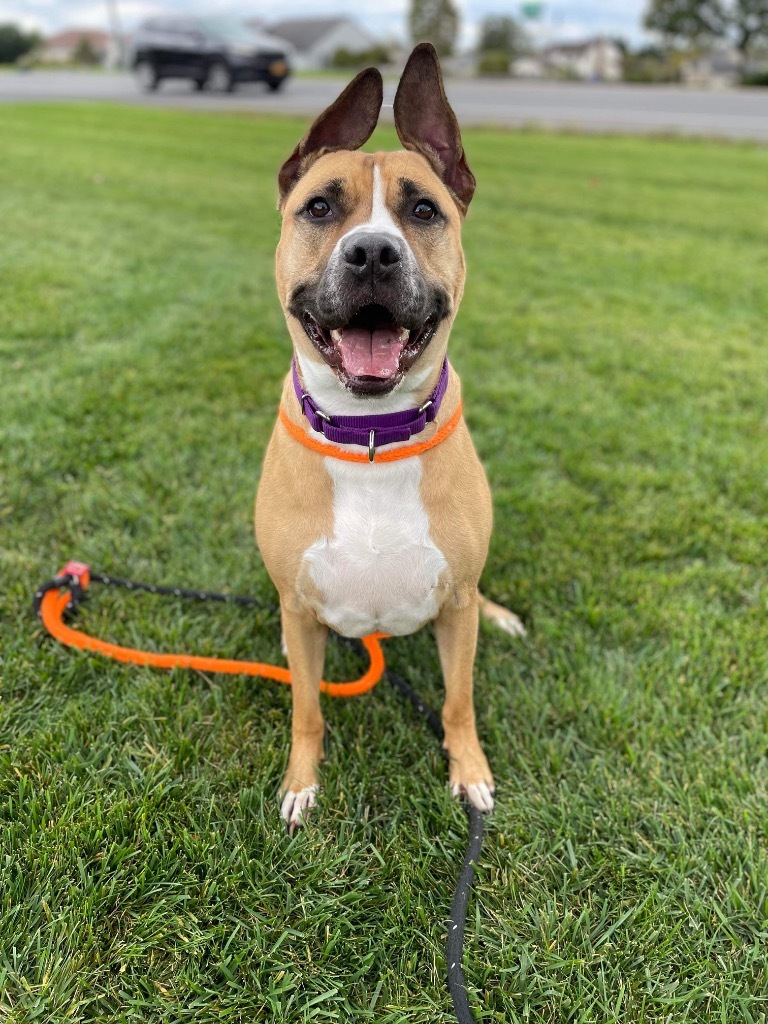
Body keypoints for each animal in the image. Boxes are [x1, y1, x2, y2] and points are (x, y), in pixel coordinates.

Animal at [256, 46, 528, 831]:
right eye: (319, 207)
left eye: (423, 210)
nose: (374, 253)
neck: (369, 434)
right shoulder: (298, 615)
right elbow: (307, 709)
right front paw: (301, 784)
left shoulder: (455, 605)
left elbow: (459, 702)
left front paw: (470, 774)